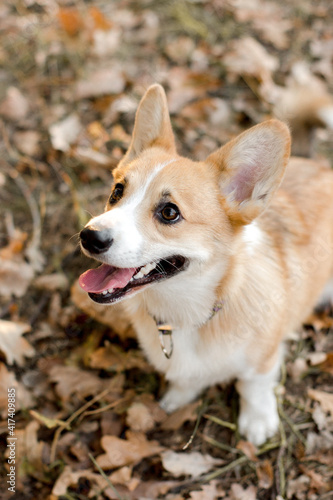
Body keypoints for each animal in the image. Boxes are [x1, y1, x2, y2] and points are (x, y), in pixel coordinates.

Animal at [78, 85, 332, 446]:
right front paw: (177, 397)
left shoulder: (264, 358)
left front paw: (257, 421)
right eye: (117, 191)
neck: (185, 314)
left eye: (169, 212)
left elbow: (253, 386)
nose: (89, 237)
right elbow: (186, 380)